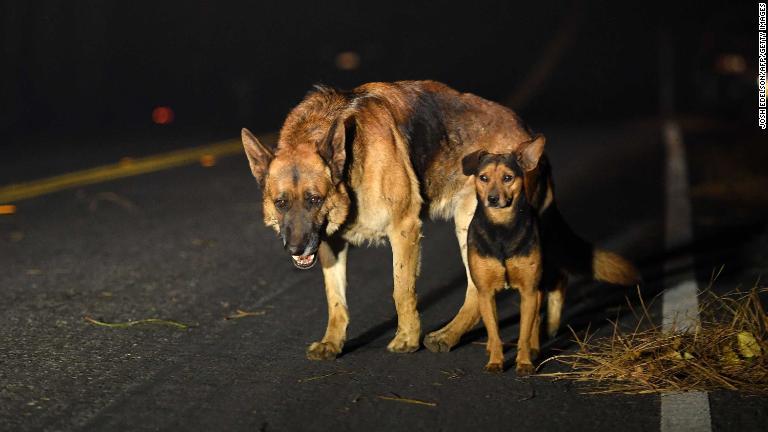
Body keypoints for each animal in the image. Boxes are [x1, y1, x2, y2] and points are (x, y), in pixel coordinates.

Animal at [240, 79, 636, 360]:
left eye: (315, 199)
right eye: (281, 203)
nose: (295, 248)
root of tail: (528, 138)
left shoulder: (404, 229)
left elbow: (401, 290)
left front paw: (406, 338)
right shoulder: (330, 244)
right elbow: (335, 300)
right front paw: (333, 342)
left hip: (470, 223)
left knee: (483, 289)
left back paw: (452, 336)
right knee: (542, 279)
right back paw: (539, 331)